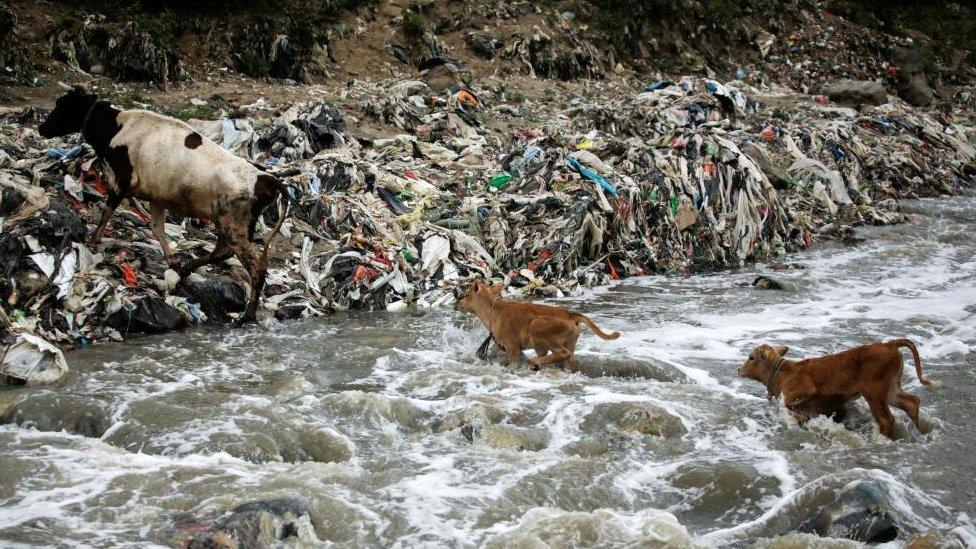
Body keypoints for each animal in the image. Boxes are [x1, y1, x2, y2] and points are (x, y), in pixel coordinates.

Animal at [42, 85, 286, 324]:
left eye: (62, 105)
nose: (41, 128)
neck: (116, 128)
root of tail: (267, 178)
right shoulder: (156, 197)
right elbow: (157, 230)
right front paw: (172, 260)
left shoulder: (122, 181)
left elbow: (107, 213)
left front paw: (93, 241)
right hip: (229, 223)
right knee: (222, 252)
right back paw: (184, 270)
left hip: (233, 225)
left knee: (255, 267)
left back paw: (248, 315)